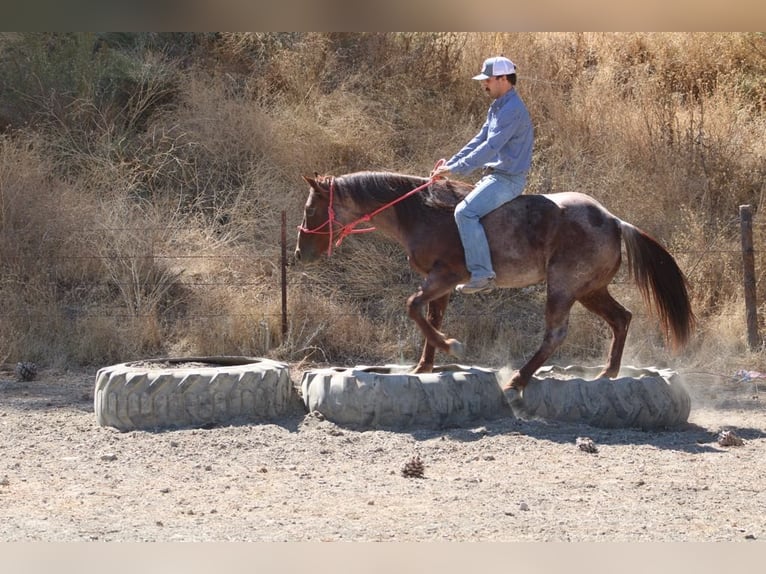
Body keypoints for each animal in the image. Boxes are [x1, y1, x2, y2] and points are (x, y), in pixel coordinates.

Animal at [294, 170, 695, 392]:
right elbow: (428, 316)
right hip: (590, 290)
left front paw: (449, 346)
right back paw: (607, 374)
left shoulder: (445, 276)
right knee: (621, 319)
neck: (422, 214)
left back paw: (519, 379)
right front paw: (426, 365)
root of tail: (613, 220)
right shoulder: (438, 283)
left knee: (556, 334)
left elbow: (412, 308)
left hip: (564, 288)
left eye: (311, 209)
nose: (299, 253)